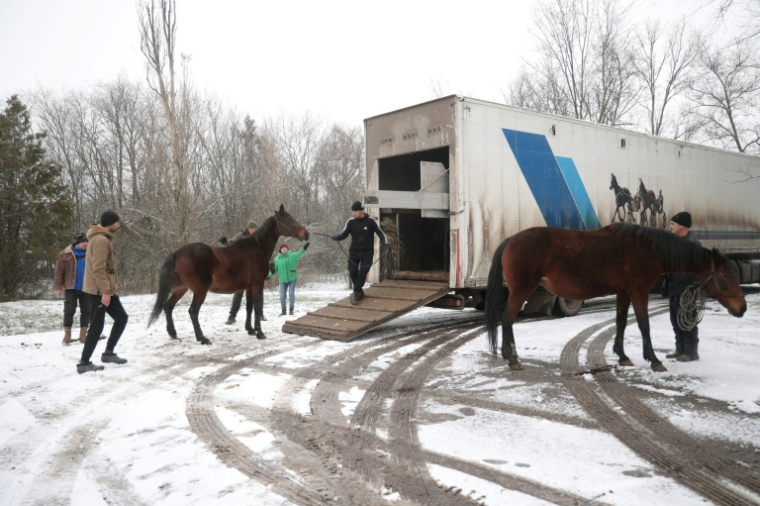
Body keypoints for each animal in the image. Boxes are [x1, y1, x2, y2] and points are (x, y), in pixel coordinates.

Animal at [148, 205, 309, 344]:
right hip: (200, 291)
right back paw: (202, 338)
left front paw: (250, 330)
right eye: (288, 219)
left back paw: (173, 334)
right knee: (193, 312)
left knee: (168, 306)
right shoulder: (258, 284)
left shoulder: (249, 287)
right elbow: (257, 307)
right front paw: (260, 333)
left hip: (181, 289)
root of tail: (177, 253)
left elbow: (249, 307)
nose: (306, 233)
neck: (256, 248)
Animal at [484, 223, 746, 372]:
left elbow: (621, 322)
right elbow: (643, 325)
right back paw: (512, 359)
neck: (650, 249)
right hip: (522, 289)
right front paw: (654, 360)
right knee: (507, 318)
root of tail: (510, 240)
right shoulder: (639, 291)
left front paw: (622, 356)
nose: (741, 308)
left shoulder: (623, 292)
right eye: (726, 274)